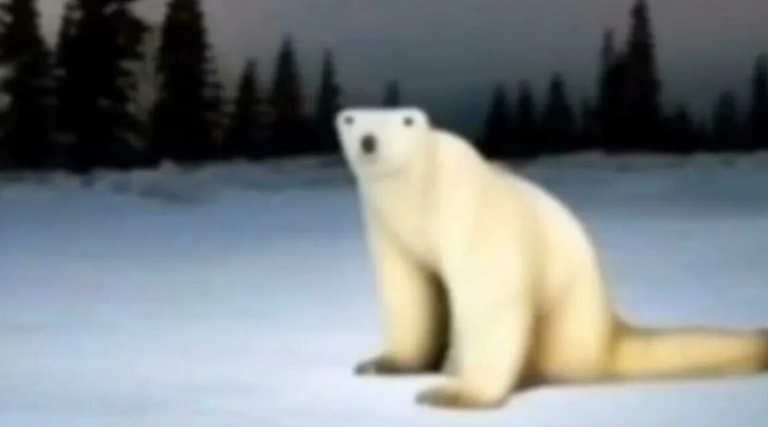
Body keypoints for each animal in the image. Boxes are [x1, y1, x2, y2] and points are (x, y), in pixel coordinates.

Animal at [334, 107, 768, 410]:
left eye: (405, 120)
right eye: (351, 119)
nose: (369, 141)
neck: (418, 197)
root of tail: (606, 332)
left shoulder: (470, 212)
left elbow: (492, 296)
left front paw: (455, 393)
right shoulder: (390, 230)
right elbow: (412, 290)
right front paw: (382, 363)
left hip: (562, 324)